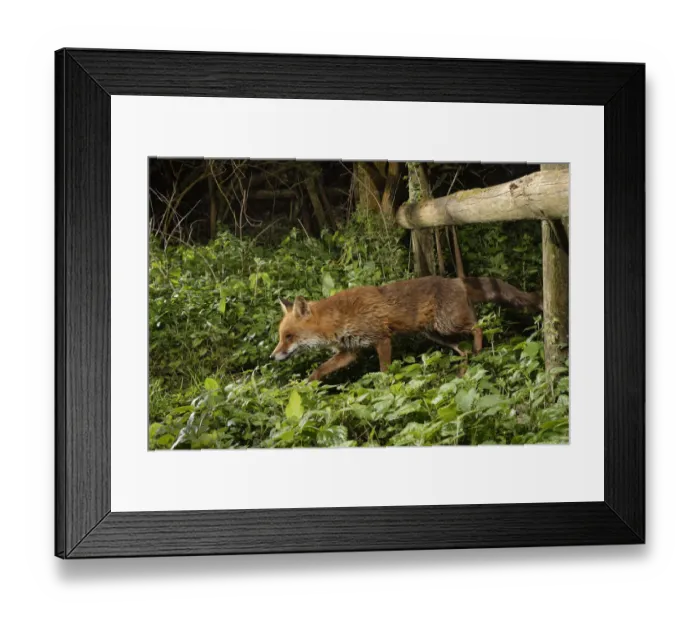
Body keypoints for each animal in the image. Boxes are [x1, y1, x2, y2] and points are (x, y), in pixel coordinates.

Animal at [270, 276, 542, 382]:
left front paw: (384, 389)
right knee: (463, 350)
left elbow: (384, 372)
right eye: (281, 337)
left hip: (448, 325)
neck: (338, 319)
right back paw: (464, 371)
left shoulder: (382, 339)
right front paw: (306, 387)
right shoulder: (350, 351)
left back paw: (478, 350)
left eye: (289, 336)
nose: (272, 357)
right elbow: (319, 370)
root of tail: (455, 280)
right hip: (439, 335)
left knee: (478, 328)